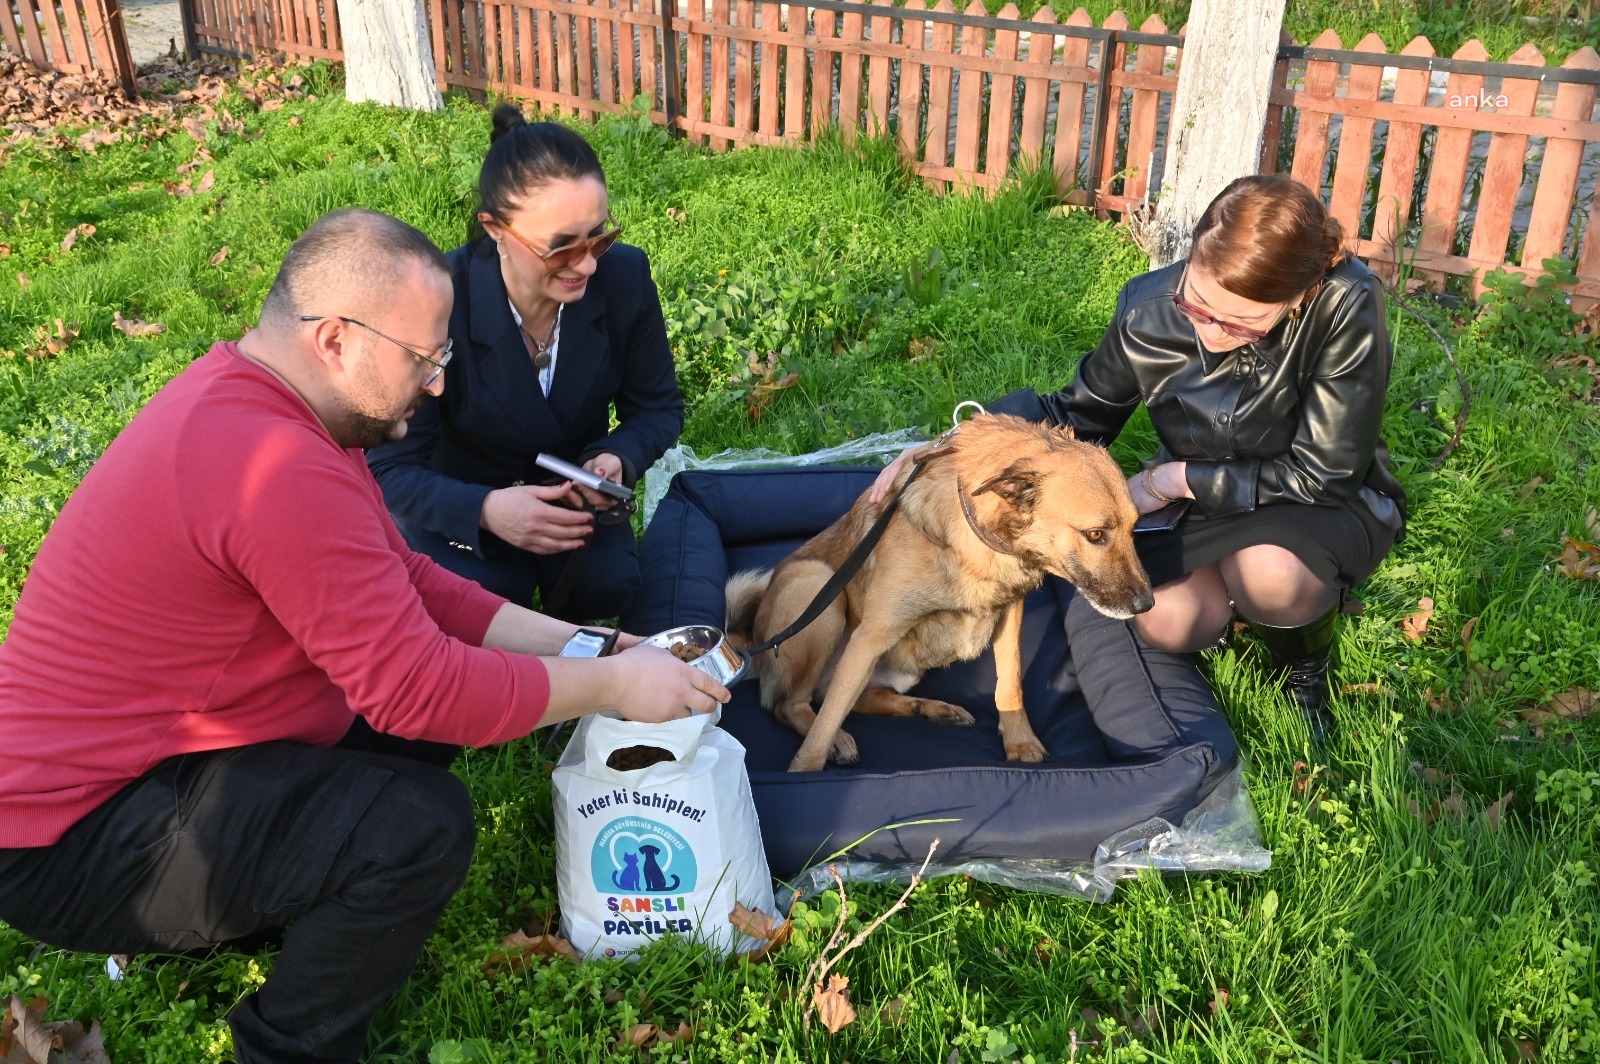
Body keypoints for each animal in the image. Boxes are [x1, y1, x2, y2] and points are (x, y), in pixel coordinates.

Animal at [723, 412, 1152, 771]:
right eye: (1095, 535)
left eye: (1135, 528)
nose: (1147, 605)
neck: (976, 533)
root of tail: (748, 642)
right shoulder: (868, 637)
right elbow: (823, 725)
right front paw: (806, 770)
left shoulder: (1010, 614)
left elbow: (1010, 683)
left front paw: (1019, 742)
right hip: (820, 594)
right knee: (793, 705)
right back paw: (839, 740)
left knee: (857, 699)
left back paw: (929, 708)